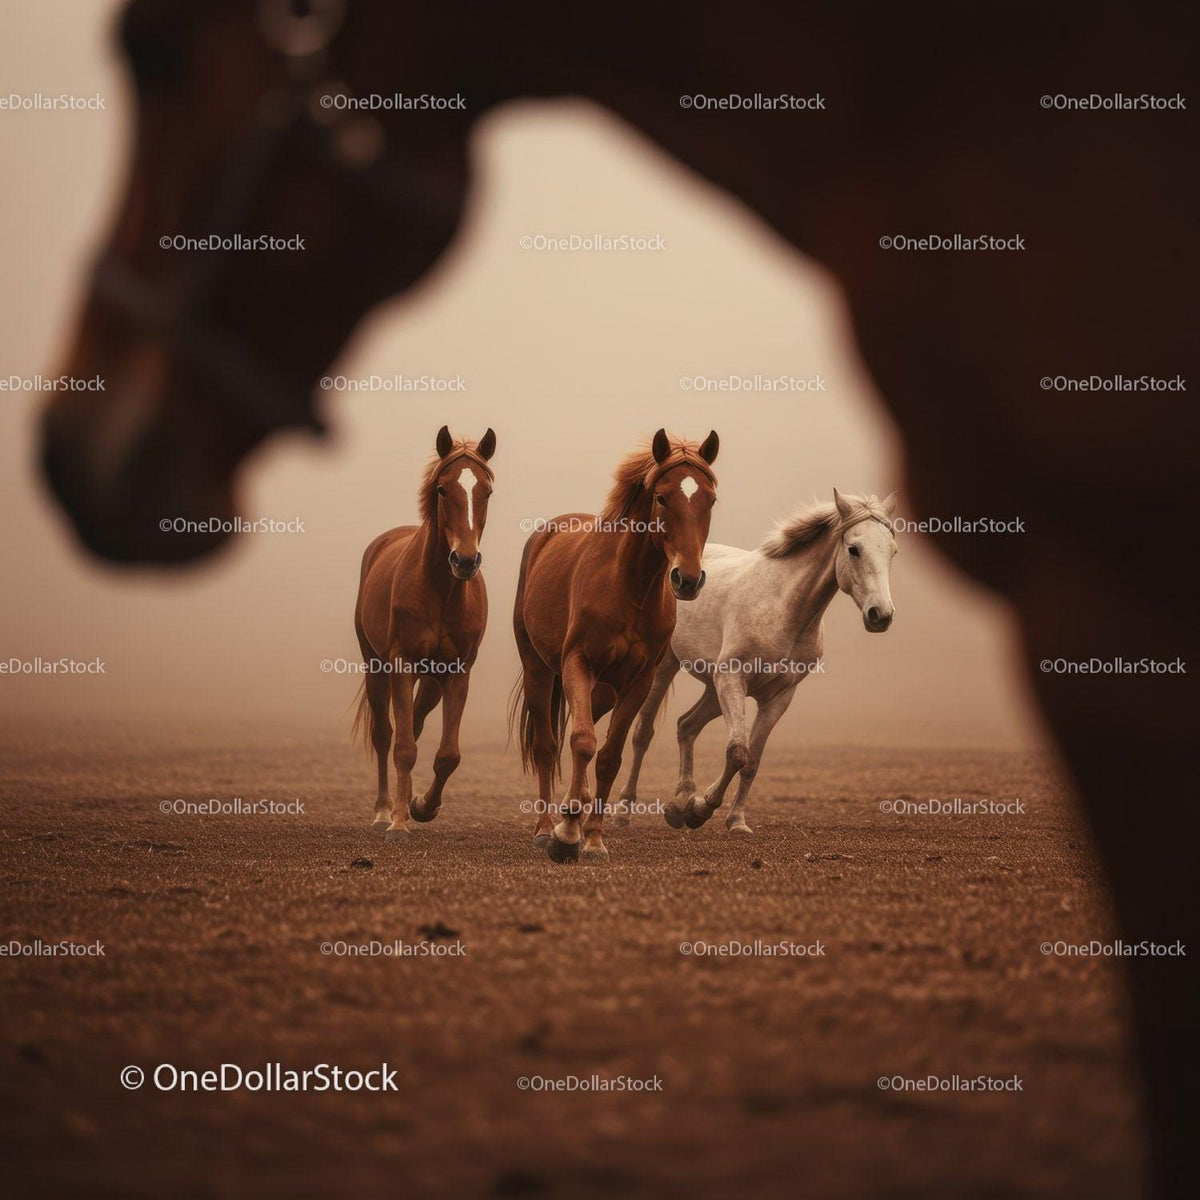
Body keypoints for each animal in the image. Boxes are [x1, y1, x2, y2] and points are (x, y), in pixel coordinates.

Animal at [352, 425, 495, 840]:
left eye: (486, 490)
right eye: (443, 489)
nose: (465, 560)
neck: (441, 591)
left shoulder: (458, 672)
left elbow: (447, 754)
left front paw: (422, 806)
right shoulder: (401, 665)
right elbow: (402, 747)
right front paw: (399, 821)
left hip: (431, 682)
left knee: (413, 724)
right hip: (376, 667)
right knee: (386, 735)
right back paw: (384, 810)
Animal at [510, 429, 718, 863]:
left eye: (709, 499)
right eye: (662, 497)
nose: (688, 579)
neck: (630, 588)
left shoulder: (638, 683)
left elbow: (608, 755)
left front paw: (591, 838)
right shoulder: (578, 664)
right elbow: (582, 742)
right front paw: (565, 834)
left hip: (603, 692)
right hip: (539, 668)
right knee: (546, 745)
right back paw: (544, 828)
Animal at [618, 491, 897, 836]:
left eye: (893, 550)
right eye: (854, 549)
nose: (881, 615)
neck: (783, 608)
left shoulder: (777, 697)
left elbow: (752, 760)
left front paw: (734, 820)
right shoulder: (732, 679)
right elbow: (737, 751)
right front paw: (701, 809)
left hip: (714, 690)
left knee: (686, 726)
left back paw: (679, 802)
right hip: (666, 670)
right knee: (643, 732)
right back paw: (625, 810)